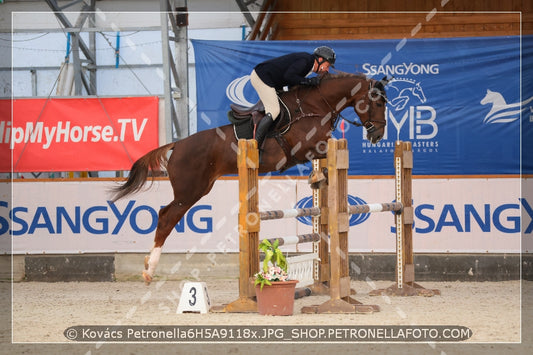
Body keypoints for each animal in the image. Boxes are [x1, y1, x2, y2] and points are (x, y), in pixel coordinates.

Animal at [111, 73, 386, 286]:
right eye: (377, 103)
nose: (378, 135)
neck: (315, 104)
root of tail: (177, 144)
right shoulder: (305, 147)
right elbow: (327, 149)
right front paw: (318, 175)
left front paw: (317, 178)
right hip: (189, 191)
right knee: (166, 216)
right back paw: (149, 270)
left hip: (201, 187)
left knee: (166, 215)